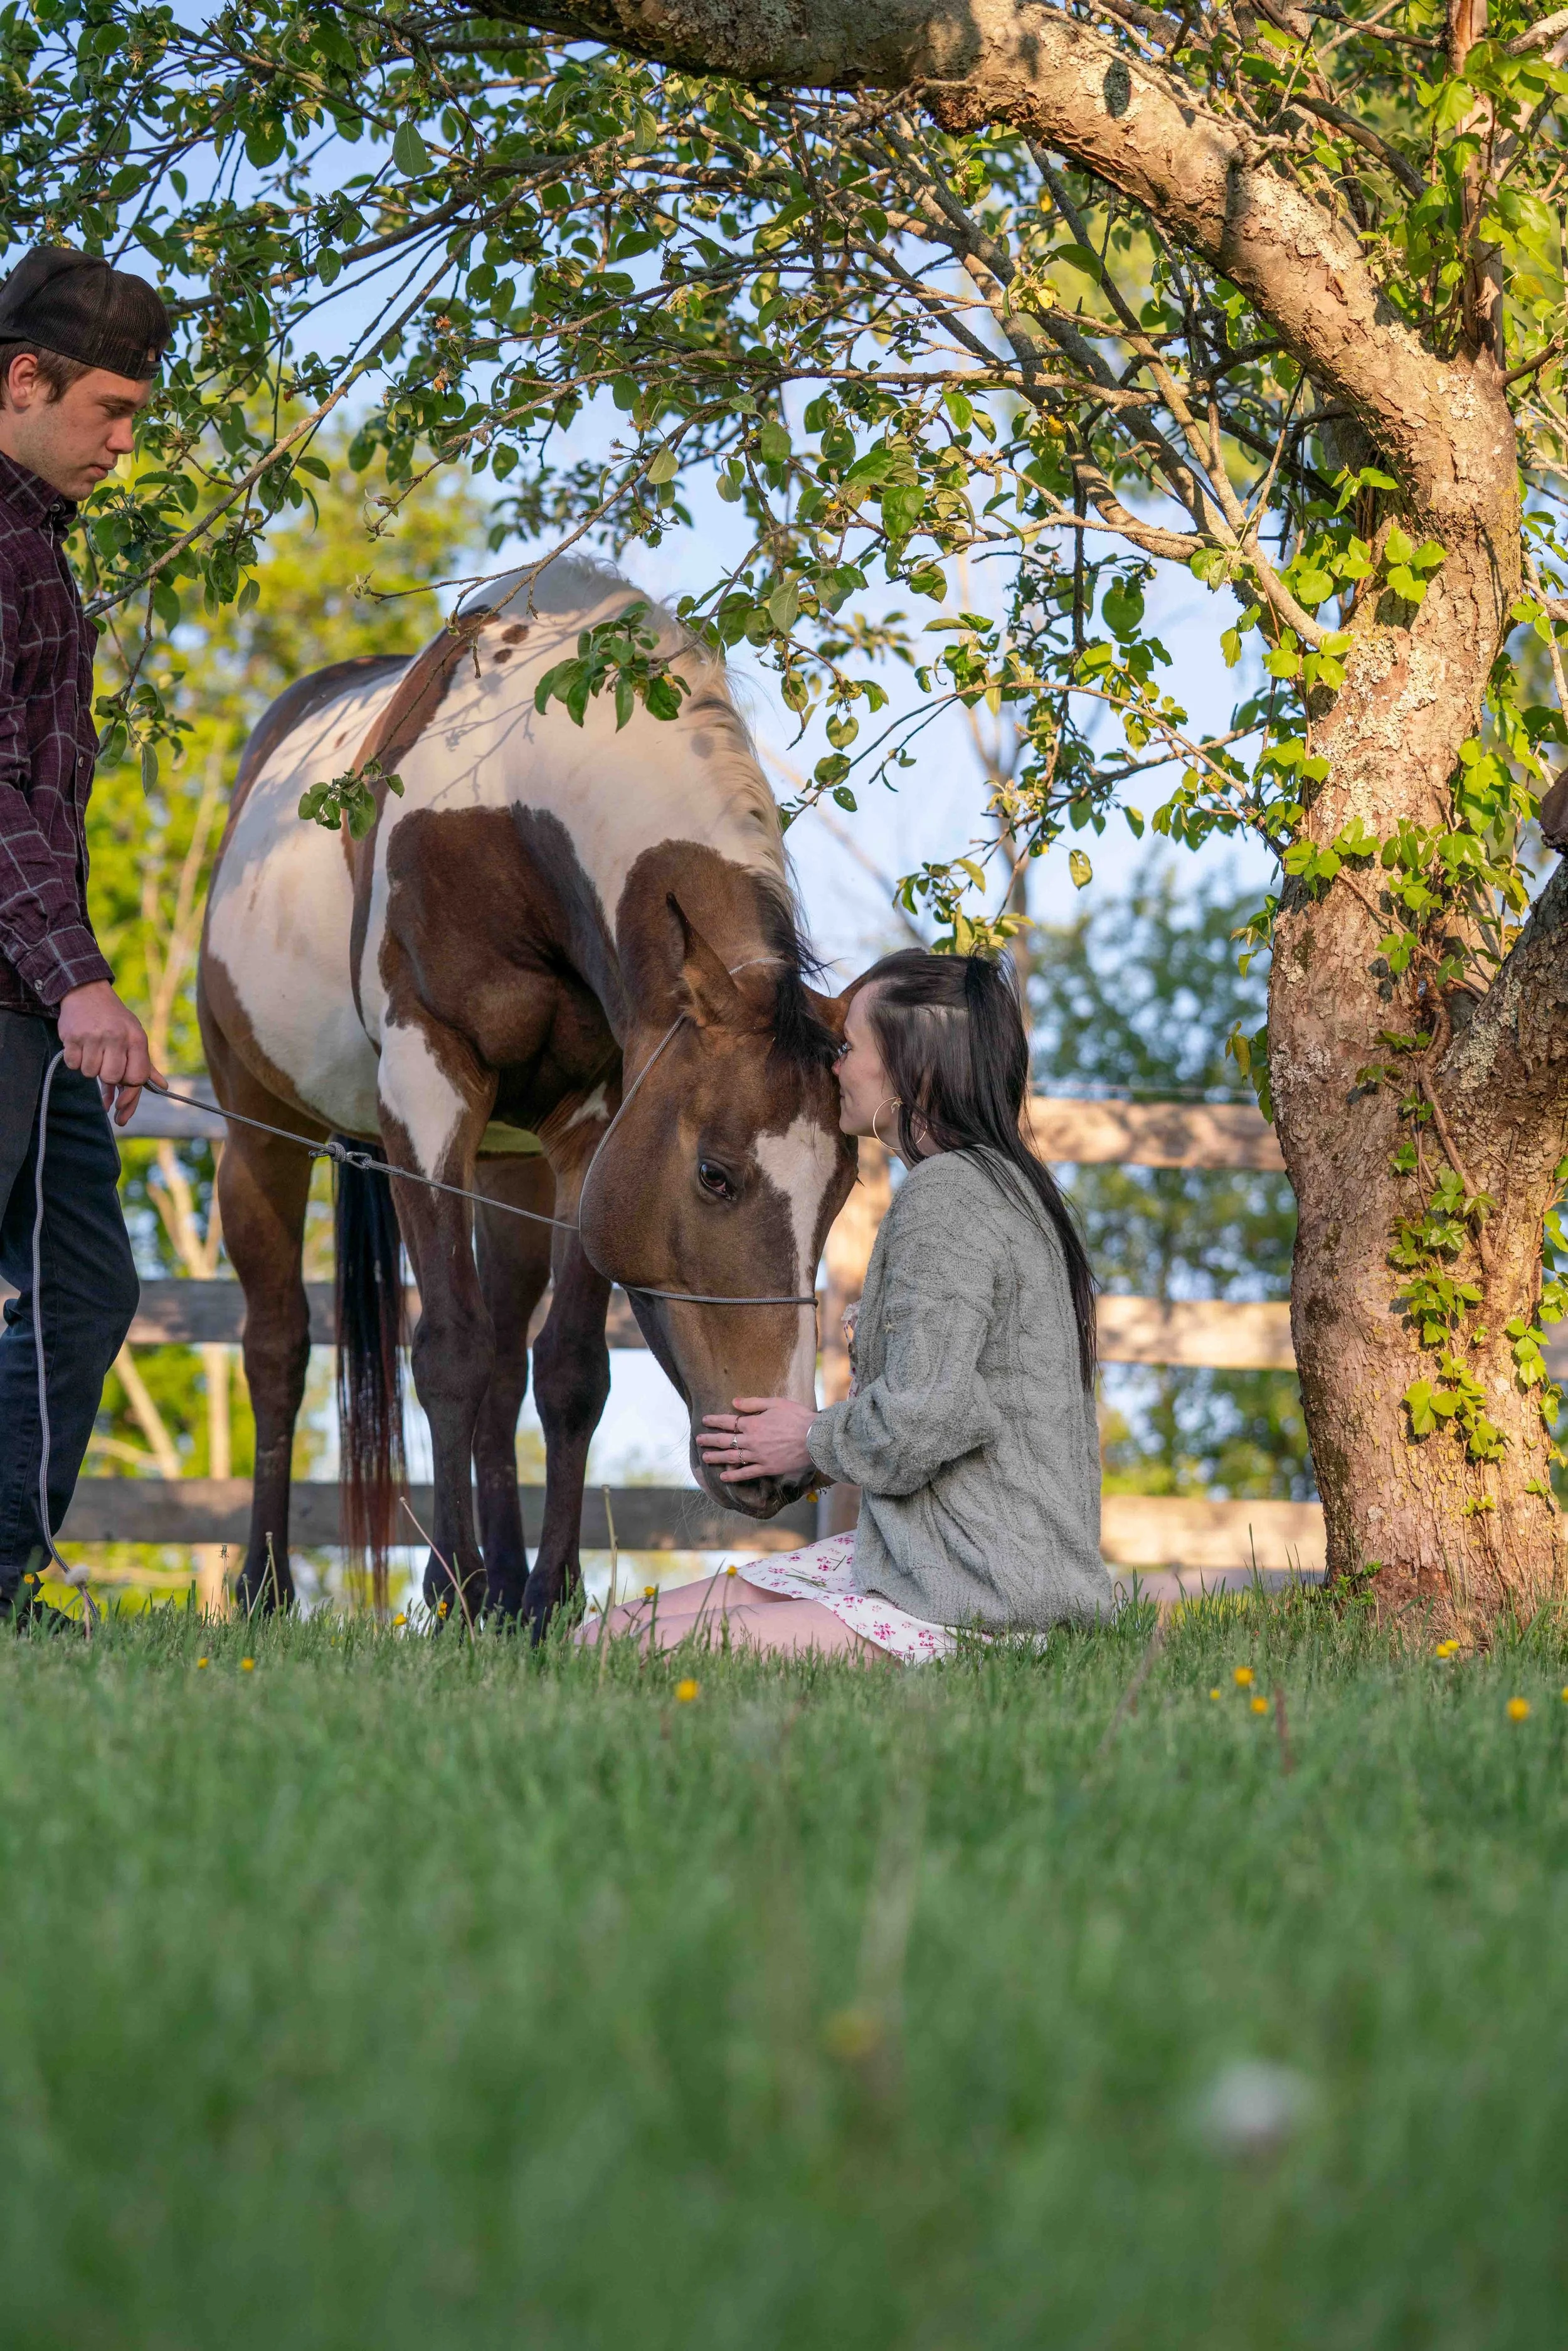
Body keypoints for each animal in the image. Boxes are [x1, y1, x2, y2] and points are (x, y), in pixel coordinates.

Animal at [196, 556, 857, 1632]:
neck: (504, 806)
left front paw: (545, 1598)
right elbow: (449, 1351)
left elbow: (569, 1370)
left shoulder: (595, 1127)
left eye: (839, 1192)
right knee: (279, 1346)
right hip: (262, 1134)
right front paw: (457, 1589)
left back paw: (502, 1590)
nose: (778, 1467)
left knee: (509, 1359)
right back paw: (270, 1586)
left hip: (511, 1171)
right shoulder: (428, 1090)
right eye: (715, 1176)